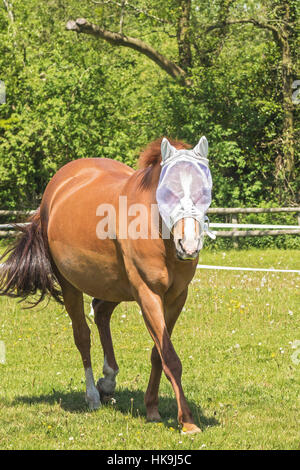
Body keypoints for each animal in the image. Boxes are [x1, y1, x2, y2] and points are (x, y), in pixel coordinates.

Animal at [1, 136, 214, 434]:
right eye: (168, 191)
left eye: (205, 190)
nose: (190, 245)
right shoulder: (148, 294)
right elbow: (169, 356)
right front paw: (188, 422)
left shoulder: (176, 298)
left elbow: (159, 353)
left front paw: (152, 408)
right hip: (72, 284)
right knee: (82, 336)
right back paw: (93, 395)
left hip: (114, 286)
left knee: (101, 312)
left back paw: (108, 382)